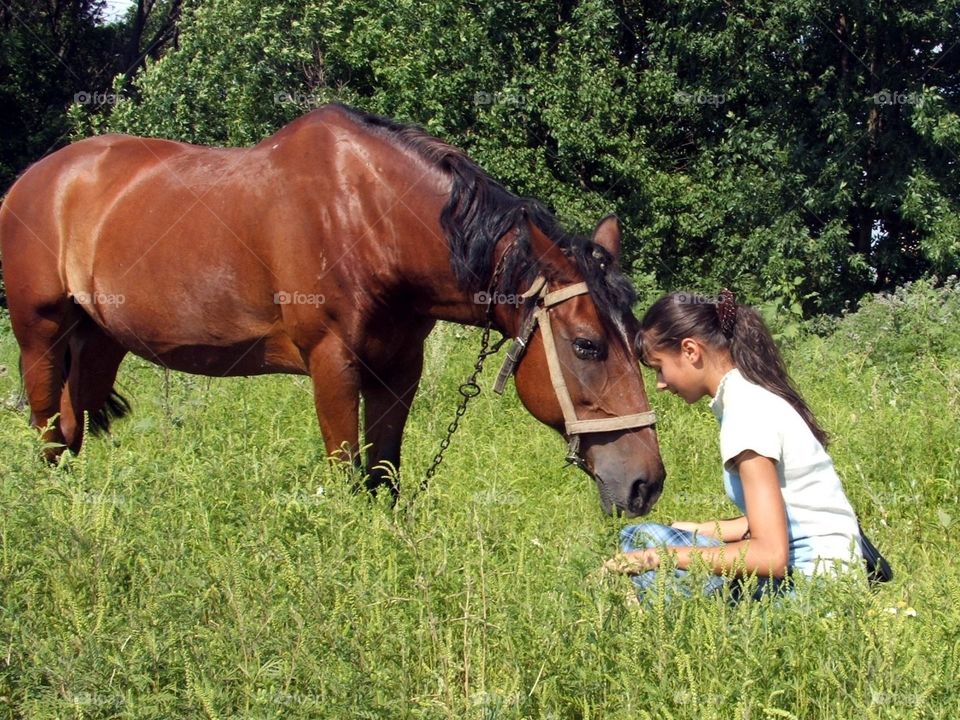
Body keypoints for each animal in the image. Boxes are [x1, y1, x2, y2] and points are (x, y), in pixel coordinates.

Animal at [0, 104, 660, 516]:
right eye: (586, 345)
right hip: (40, 336)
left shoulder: (398, 369)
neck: (369, 218)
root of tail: (33, 180)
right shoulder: (331, 365)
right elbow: (347, 476)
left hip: (99, 342)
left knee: (71, 428)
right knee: (48, 434)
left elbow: (383, 476)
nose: (646, 482)